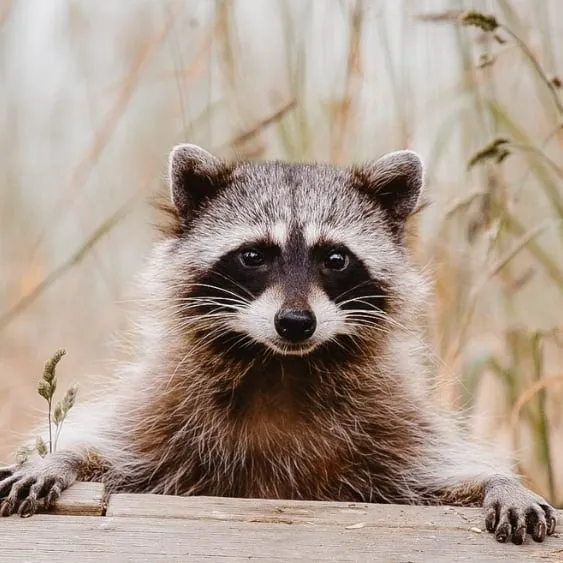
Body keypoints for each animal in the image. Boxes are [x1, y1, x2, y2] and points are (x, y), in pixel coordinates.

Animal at [0, 145, 556, 548]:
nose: (294, 323)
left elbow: (434, 482)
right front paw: (62, 459)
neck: (281, 368)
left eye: (335, 258)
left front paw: (497, 482)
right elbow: (116, 454)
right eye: (253, 256)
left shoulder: (389, 424)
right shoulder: (166, 409)